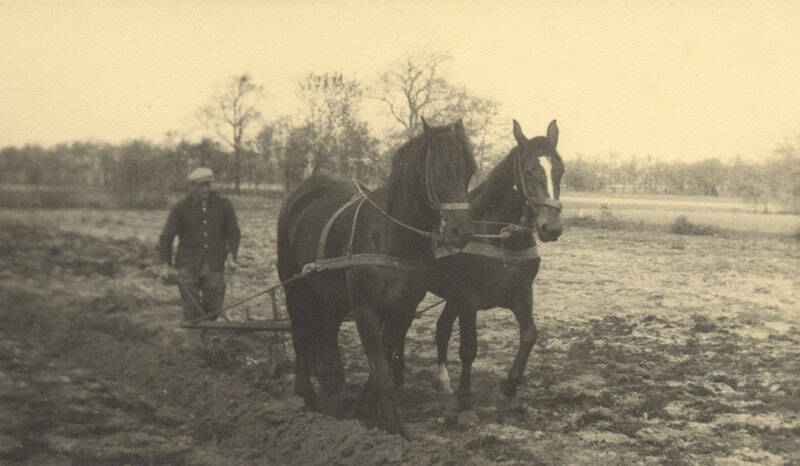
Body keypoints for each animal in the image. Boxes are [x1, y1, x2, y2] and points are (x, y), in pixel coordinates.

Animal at [276, 118, 477, 435]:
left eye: (469, 170)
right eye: (437, 170)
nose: (462, 232)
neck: (388, 235)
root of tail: (302, 190)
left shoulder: (403, 310)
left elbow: (383, 357)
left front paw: (365, 413)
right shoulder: (364, 308)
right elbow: (380, 367)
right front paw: (394, 427)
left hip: (332, 297)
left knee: (326, 332)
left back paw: (333, 387)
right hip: (294, 285)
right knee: (300, 332)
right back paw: (305, 395)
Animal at [426, 119, 564, 410]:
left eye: (560, 170)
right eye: (528, 171)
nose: (551, 227)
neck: (499, 234)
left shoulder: (521, 293)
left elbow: (529, 335)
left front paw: (510, 385)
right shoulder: (467, 299)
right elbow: (469, 347)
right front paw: (465, 396)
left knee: (442, 329)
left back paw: (442, 381)